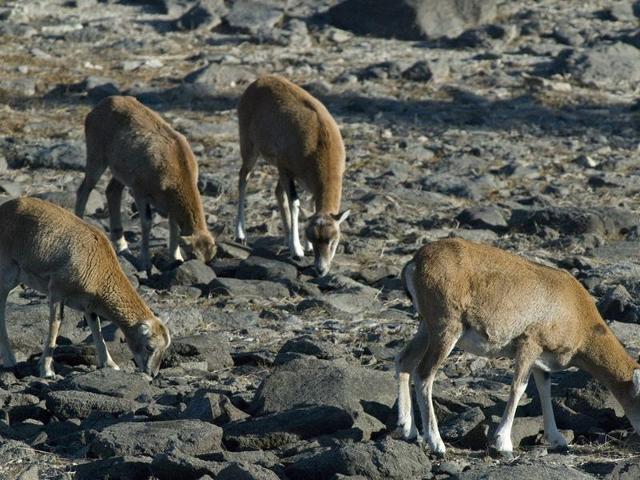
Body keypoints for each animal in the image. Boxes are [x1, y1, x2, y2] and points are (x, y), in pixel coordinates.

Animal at [0, 197, 170, 376]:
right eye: (149, 346)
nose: (152, 373)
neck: (99, 266)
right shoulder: (57, 293)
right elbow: (55, 326)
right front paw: (46, 371)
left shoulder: (89, 307)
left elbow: (97, 330)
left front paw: (110, 364)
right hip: (7, 277)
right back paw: (10, 361)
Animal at [75, 94, 218, 274]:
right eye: (194, 255)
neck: (177, 164)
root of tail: (99, 107)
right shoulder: (140, 193)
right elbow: (147, 223)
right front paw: (145, 262)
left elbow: (174, 227)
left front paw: (176, 258)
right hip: (97, 161)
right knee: (84, 190)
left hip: (119, 175)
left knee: (112, 192)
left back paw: (122, 246)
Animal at [235, 75, 348, 278]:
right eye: (313, 236)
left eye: (332, 239)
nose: (321, 270)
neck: (318, 140)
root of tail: (257, 82)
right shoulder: (286, 170)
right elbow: (295, 204)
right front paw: (298, 250)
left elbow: (308, 206)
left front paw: (304, 247)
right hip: (250, 151)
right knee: (243, 179)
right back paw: (241, 235)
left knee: (277, 192)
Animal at [396, 239, 640, 458]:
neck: (577, 313)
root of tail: (416, 262)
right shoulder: (528, 346)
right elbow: (518, 388)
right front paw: (503, 444)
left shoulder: (541, 362)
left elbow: (544, 390)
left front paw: (557, 439)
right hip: (446, 332)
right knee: (424, 374)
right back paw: (437, 444)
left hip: (426, 329)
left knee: (404, 361)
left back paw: (408, 430)